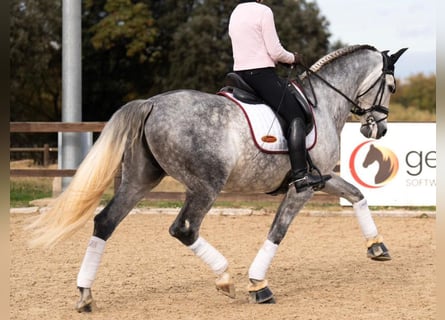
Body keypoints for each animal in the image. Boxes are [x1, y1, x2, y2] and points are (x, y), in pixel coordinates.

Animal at [27, 44, 406, 310]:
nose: (379, 129)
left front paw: (377, 246)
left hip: (140, 180)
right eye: (390, 85)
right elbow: (278, 231)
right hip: (205, 186)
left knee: (105, 222)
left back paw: (85, 295)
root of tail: (150, 103)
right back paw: (224, 278)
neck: (323, 103)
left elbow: (356, 194)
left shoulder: (323, 176)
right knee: (184, 228)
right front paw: (257, 284)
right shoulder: (304, 187)